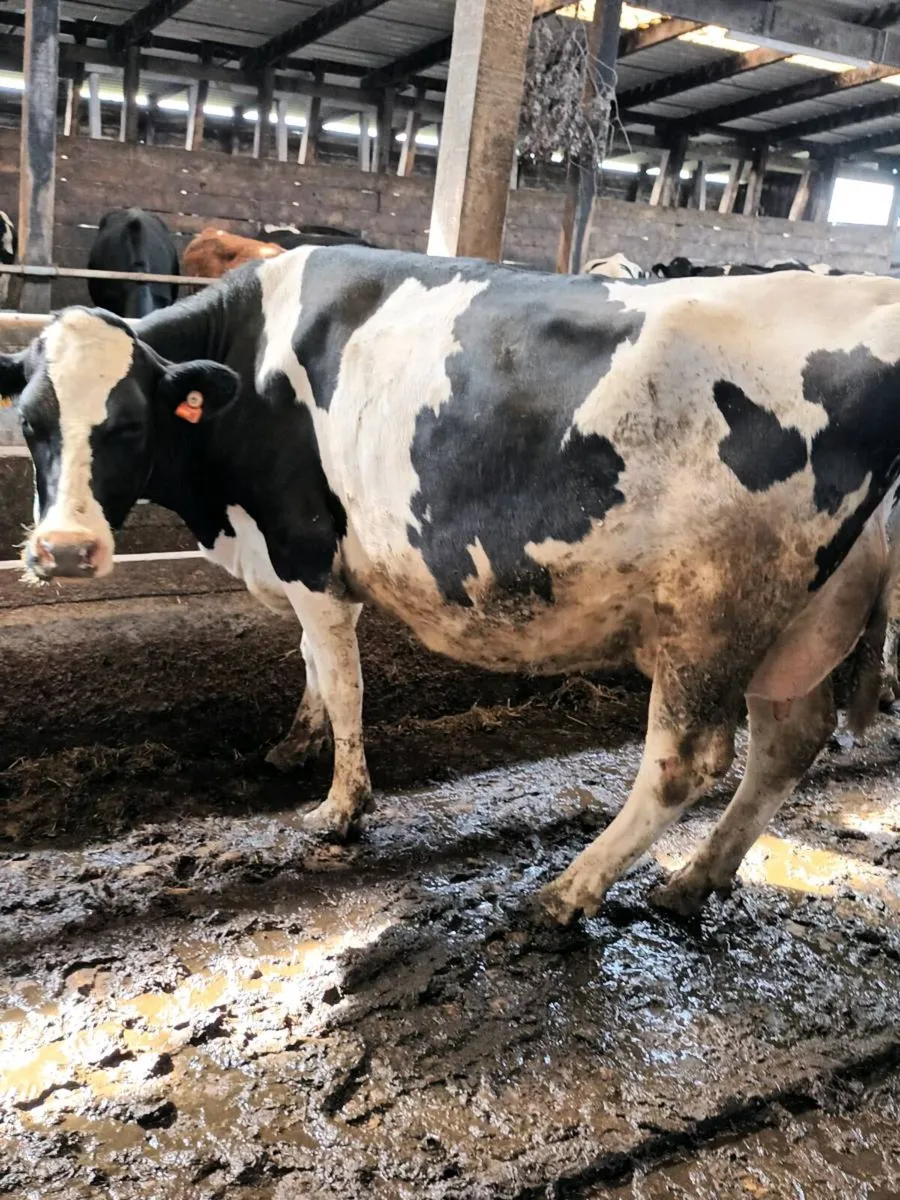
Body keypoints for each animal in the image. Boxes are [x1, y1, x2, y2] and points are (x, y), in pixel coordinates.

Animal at [4, 249, 900, 929]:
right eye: (31, 423)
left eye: (128, 425)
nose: (66, 550)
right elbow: (309, 663)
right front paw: (295, 742)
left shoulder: (305, 547)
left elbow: (343, 678)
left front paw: (342, 807)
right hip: (808, 614)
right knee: (789, 740)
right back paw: (694, 881)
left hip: (715, 608)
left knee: (689, 758)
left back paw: (570, 890)